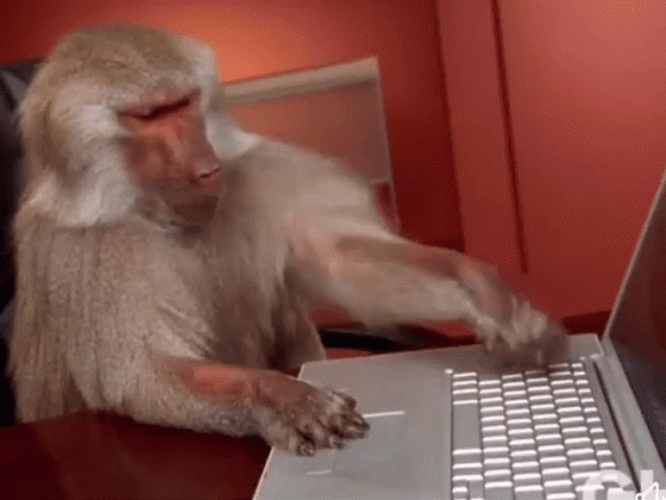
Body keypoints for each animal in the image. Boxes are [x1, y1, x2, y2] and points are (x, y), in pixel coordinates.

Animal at [8, 25, 568, 456]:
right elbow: (141, 375)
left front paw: (491, 299)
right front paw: (281, 396)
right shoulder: (87, 255)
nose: (207, 169)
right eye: (149, 117)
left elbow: (339, 261)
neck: (154, 209)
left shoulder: (252, 176)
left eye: (184, 104)